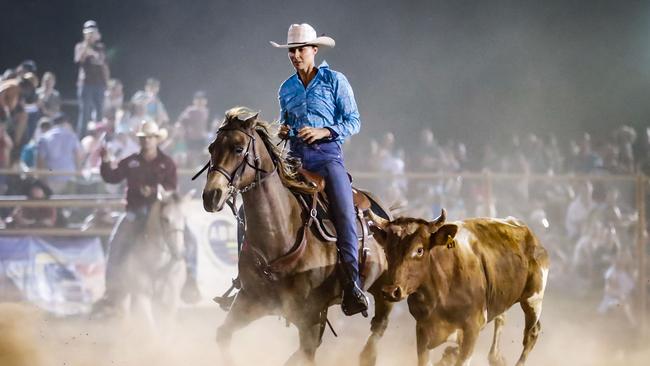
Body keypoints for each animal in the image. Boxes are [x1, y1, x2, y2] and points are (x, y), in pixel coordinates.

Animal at [200, 108, 394, 366]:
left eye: (238, 148)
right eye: (211, 148)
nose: (211, 195)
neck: (279, 237)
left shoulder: (309, 318)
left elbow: (306, 352)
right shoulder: (250, 301)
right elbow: (223, 335)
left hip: (386, 288)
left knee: (379, 324)